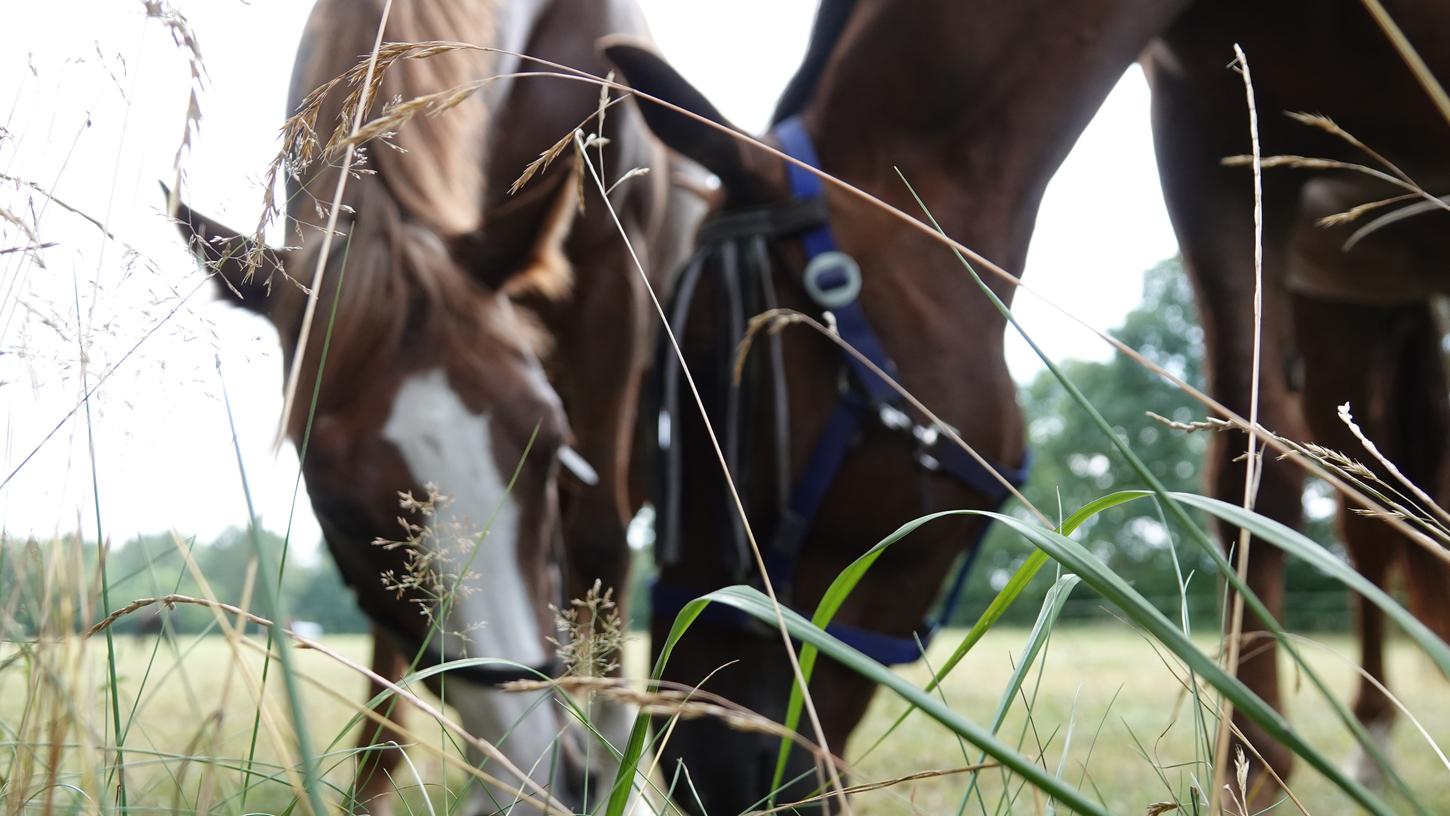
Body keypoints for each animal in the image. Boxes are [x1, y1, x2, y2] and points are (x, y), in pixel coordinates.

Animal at [175, 1, 696, 816]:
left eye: (550, 447)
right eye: (339, 506)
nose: (540, 775)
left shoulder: (613, 286)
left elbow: (599, 542)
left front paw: (618, 775)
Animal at [611, 0, 1450, 811]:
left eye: (748, 420)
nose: (698, 763)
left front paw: (1253, 766)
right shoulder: (1207, 144)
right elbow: (1251, 461)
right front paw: (1254, 765)